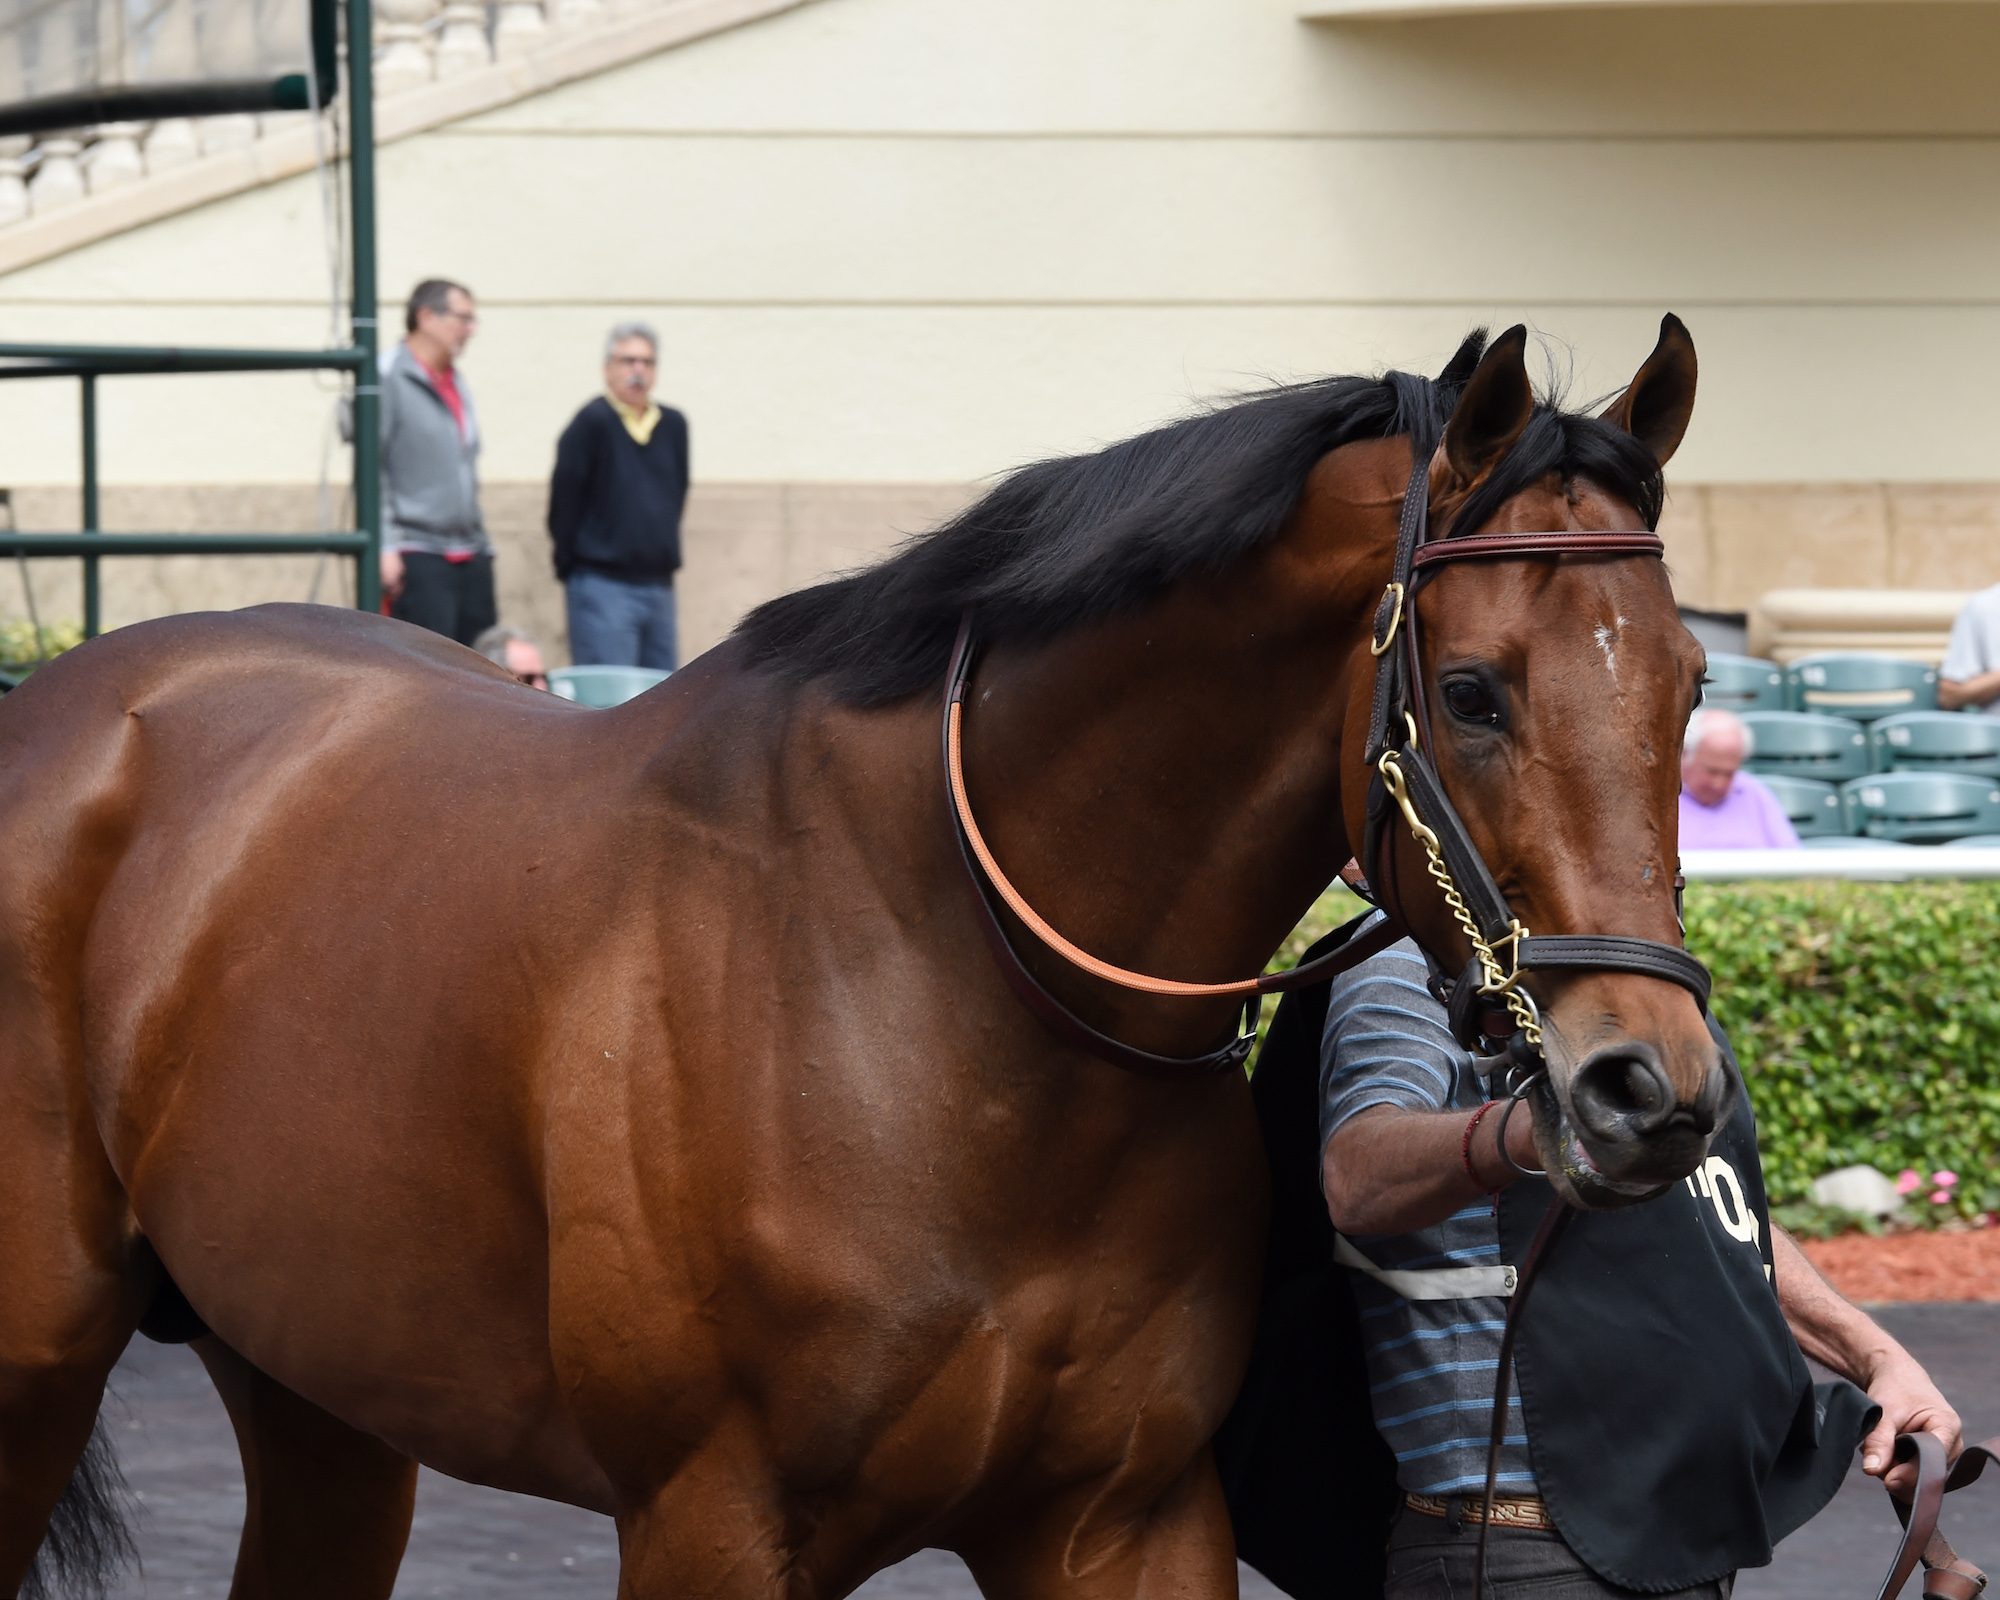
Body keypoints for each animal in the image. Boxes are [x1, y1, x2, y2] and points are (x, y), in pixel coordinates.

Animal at [3, 318, 1720, 1592]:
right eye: (1478, 691)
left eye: (1692, 682)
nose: (1652, 1088)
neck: (956, 995)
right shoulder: (709, 1523)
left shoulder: (1124, 1520)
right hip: (42, 1365)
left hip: (321, 1390)